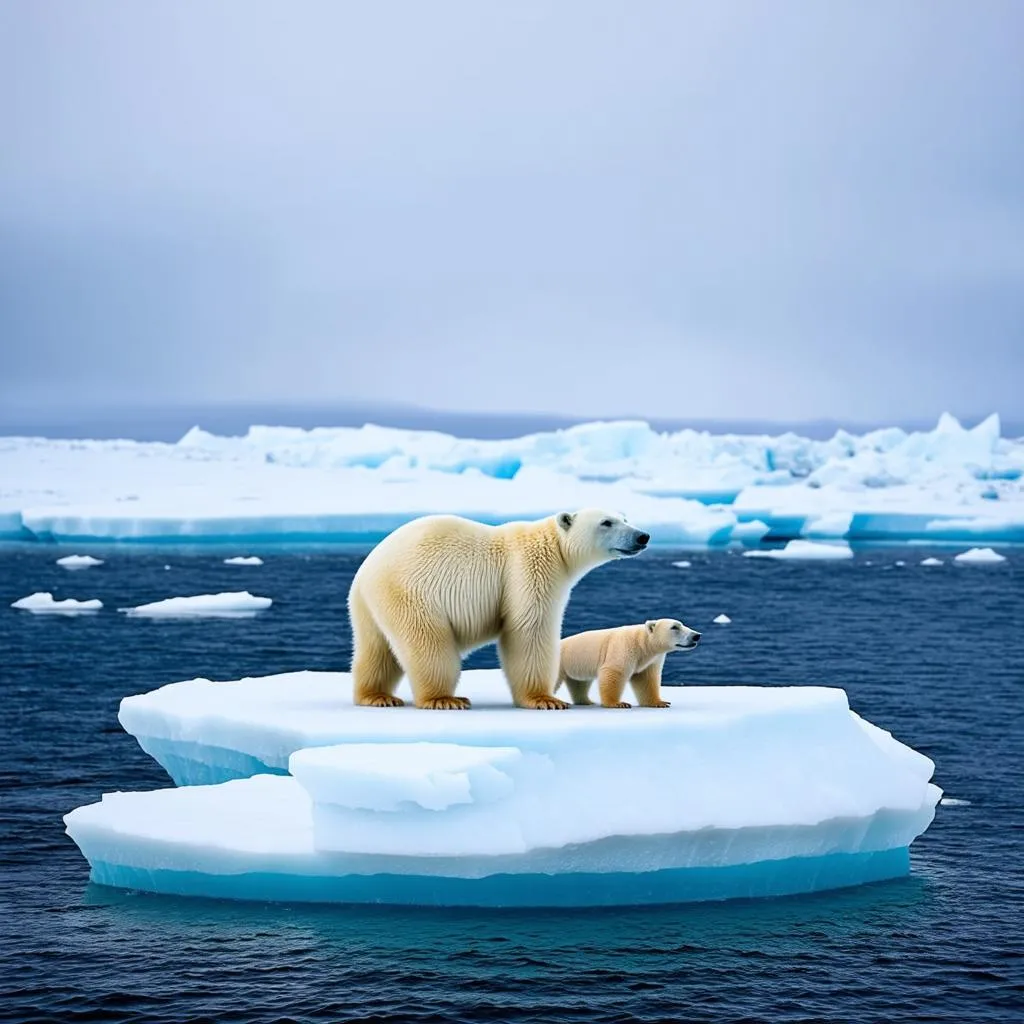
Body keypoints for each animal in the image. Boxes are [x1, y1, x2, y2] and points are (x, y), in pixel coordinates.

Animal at [346, 509, 647, 712]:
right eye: (606, 522)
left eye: (625, 516)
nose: (642, 536)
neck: (553, 546)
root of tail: (366, 569)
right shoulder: (527, 571)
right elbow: (529, 630)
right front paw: (545, 700)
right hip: (412, 593)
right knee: (429, 642)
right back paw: (444, 698)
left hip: (370, 605)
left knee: (377, 649)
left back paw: (377, 696)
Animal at [557, 618, 700, 708]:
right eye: (674, 627)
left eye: (681, 624)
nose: (696, 635)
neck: (642, 643)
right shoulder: (624, 646)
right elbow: (615, 671)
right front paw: (617, 703)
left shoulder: (649, 660)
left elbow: (646, 679)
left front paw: (659, 702)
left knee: (579, 683)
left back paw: (586, 701)